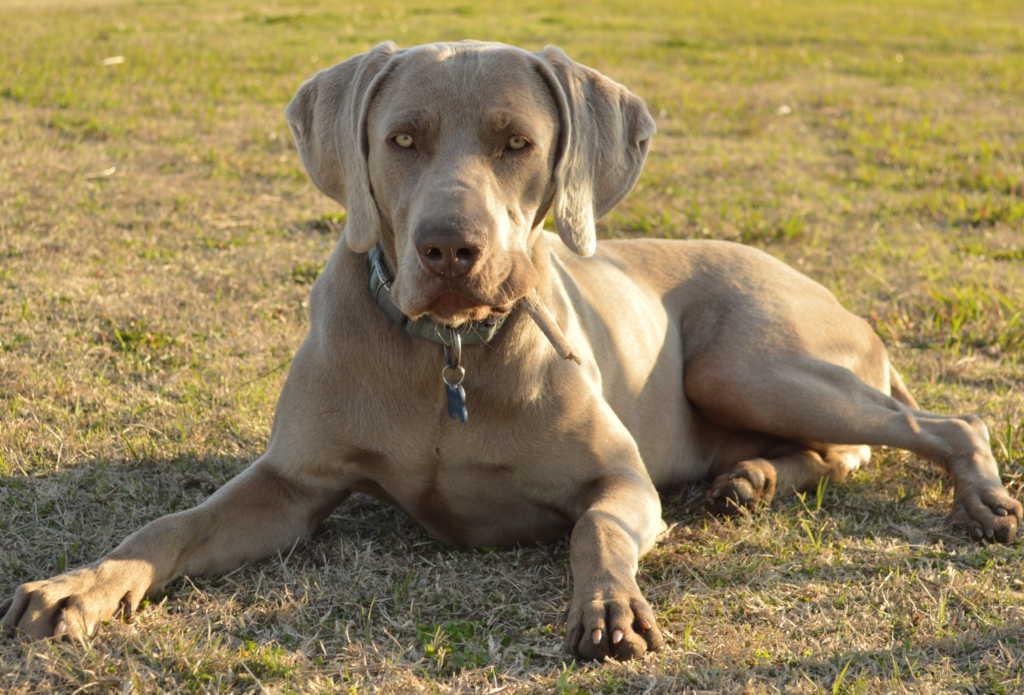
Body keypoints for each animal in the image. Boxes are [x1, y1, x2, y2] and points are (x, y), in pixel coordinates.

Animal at [4, 40, 1019, 659]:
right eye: (402, 139)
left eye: (518, 142)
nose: (450, 249)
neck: (446, 354)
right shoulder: (289, 485)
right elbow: (167, 526)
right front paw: (77, 588)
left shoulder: (620, 480)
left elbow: (595, 529)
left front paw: (608, 606)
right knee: (828, 453)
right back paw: (749, 481)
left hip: (746, 360)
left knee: (943, 422)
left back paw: (978, 498)